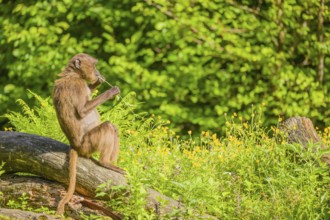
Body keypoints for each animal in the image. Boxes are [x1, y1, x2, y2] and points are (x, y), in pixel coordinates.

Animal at [53, 53, 124, 215]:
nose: (97, 72)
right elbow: (82, 110)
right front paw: (111, 92)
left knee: (113, 128)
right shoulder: (77, 86)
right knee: (108, 127)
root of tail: (75, 145)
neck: (73, 74)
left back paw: (112, 164)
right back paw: (105, 163)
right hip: (88, 143)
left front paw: (98, 82)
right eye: (94, 65)